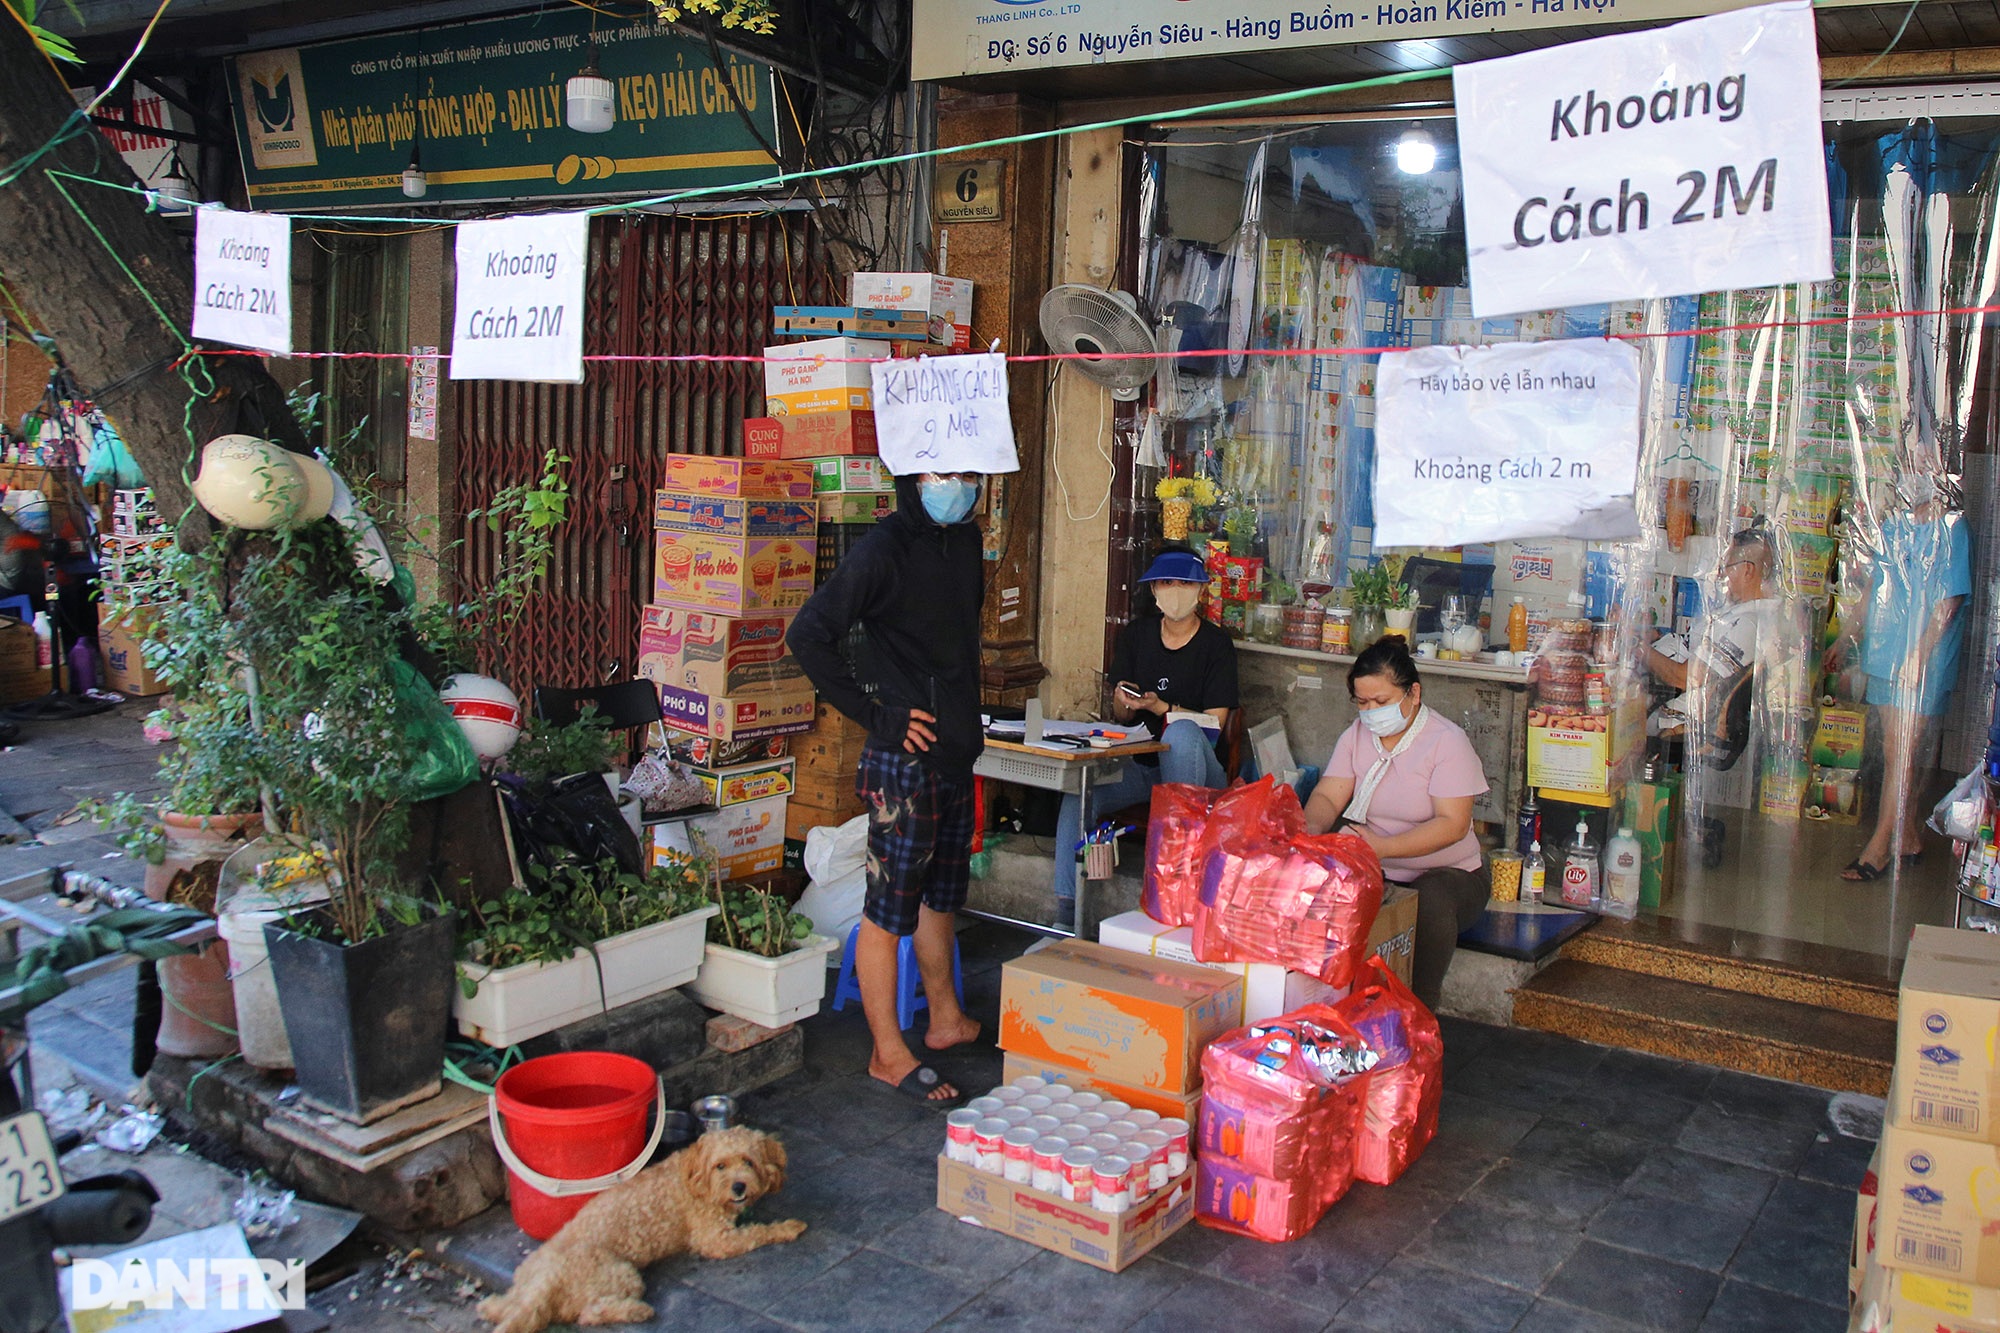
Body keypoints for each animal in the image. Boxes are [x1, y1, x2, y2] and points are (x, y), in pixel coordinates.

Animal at [476, 1120, 804, 1328]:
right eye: (720, 1166)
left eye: (748, 1161)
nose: (739, 1187)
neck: (694, 1178)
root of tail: (546, 1281)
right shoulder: (716, 1239)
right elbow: (758, 1232)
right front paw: (788, 1227)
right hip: (622, 1274)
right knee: (588, 1314)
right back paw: (636, 1310)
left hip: (523, 1282)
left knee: (513, 1306)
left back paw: (491, 1307)